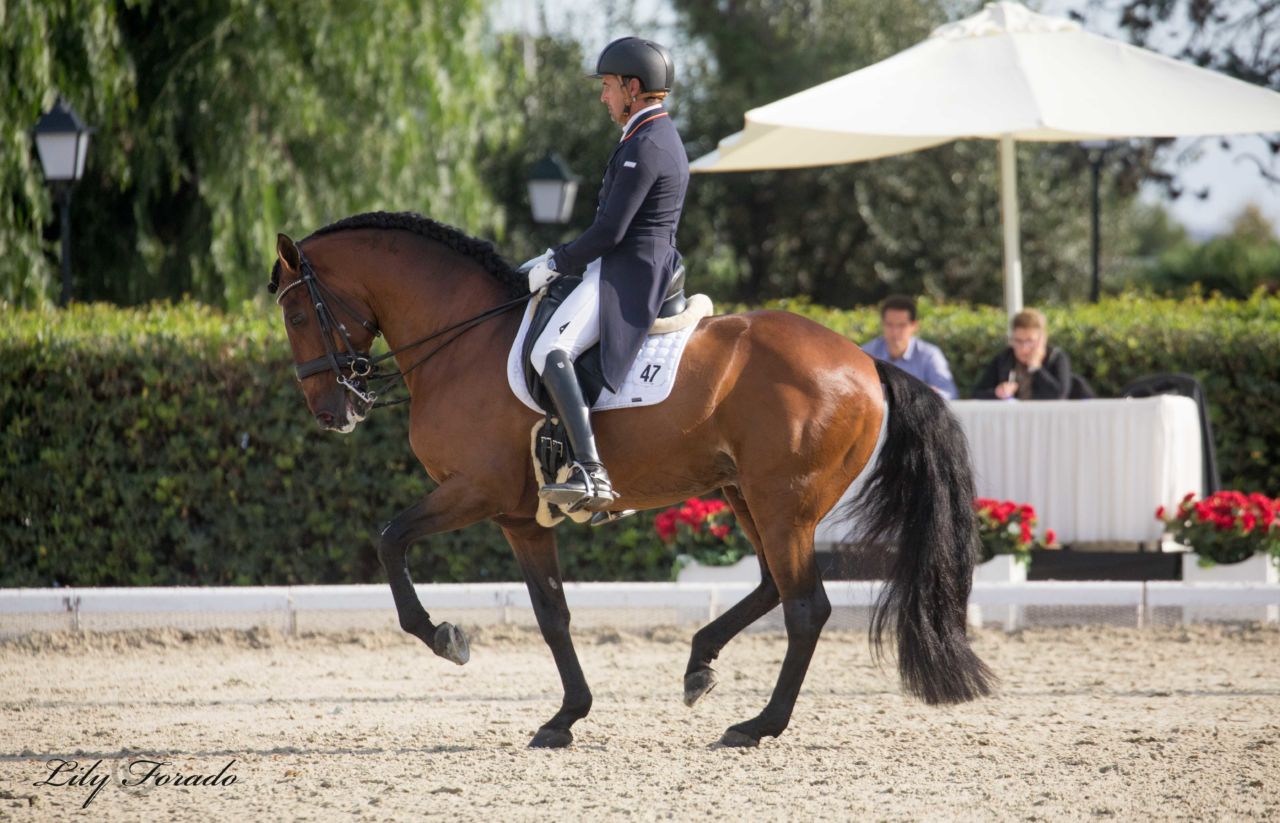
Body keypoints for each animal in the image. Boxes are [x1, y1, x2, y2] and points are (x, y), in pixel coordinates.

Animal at [267, 211, 988, 747]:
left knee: (806, 604)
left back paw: (758, 725)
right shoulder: (521, 517)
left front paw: (447, 638)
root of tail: (867, 362)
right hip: (746, 494)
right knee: (771, 586)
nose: (333, 413)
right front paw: (565, 717)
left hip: (782, 502)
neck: (462, 340)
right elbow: (552, 613)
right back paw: (700, 664)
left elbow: (391, 539)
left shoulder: (477, 491)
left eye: (297, 316)